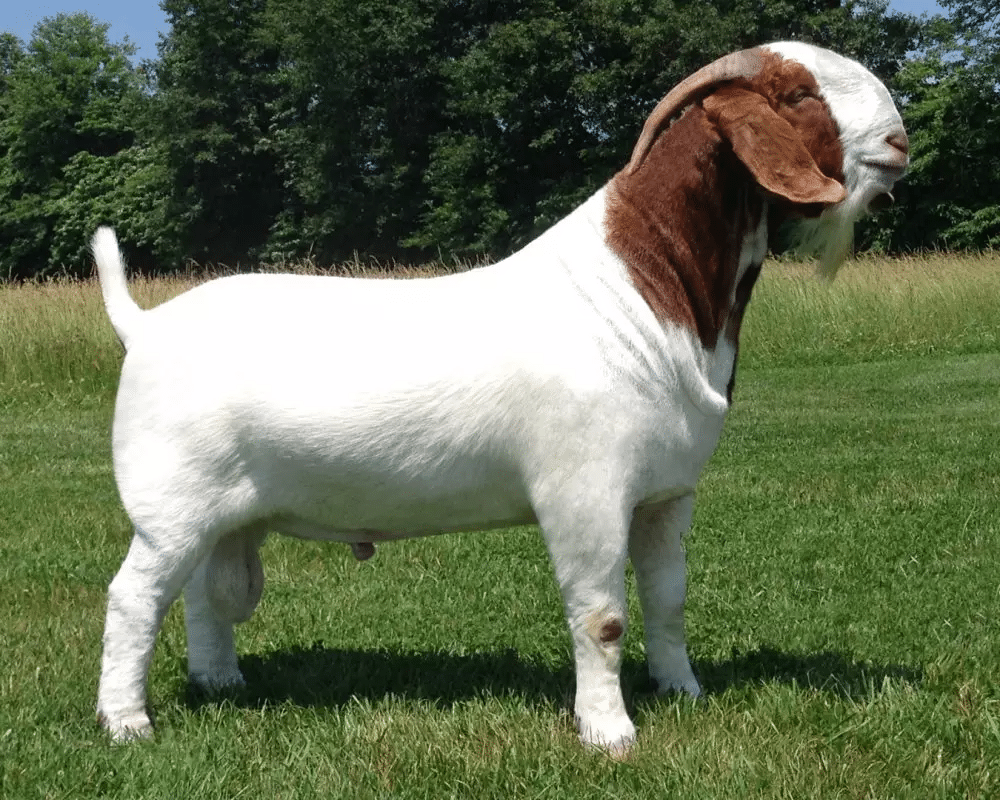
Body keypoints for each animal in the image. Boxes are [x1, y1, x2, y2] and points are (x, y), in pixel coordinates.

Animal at [93, 41, 907, 754]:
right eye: (798, 94)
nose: (900, 140)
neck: (641, 291)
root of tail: (145, 324)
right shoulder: (585, 489)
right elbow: (602, 618)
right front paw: (610, 735)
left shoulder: (667, 493)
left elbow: (667, 599)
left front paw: (682, 690)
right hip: (169, 504)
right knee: (134, 597)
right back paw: (126, 723)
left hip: (224, 515)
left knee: (203, 596)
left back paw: (221, 682)